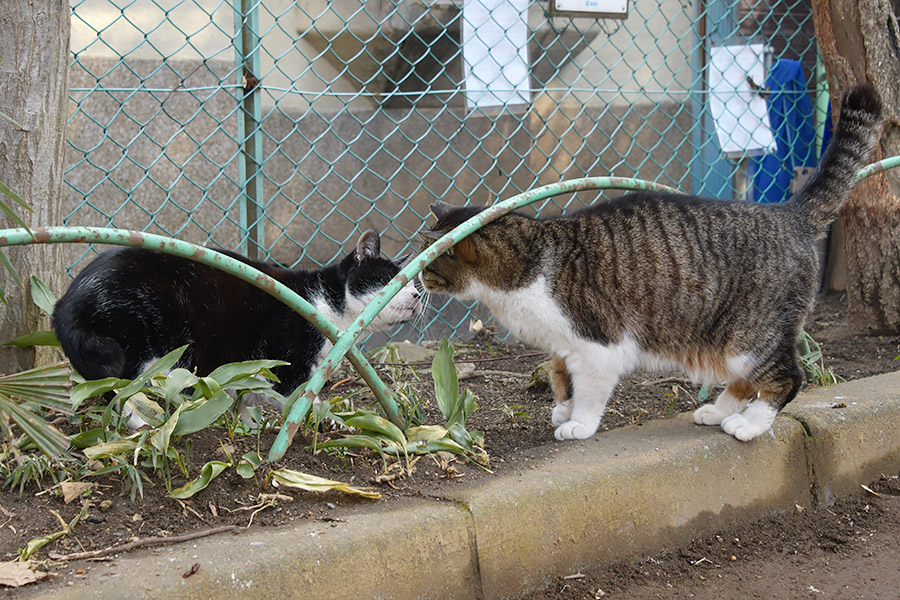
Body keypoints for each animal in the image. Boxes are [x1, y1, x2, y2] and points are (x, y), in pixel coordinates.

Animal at [55, 230, 422, 394]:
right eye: (389, 280)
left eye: (414, 281)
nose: (418, 295)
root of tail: (67, 301)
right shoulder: (287, 354)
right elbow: (290, 388)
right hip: (148, 335)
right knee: (123, 390)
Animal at [424, 83, 884, 440]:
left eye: (428, 262)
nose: (417, 279)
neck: (531, 262)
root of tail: (789, 213)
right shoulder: (562, 346)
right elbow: (560, 379)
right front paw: (562, 409)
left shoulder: (599, 346)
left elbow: (588, 392)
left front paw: (579, 424)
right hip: (728, 342)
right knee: (744, 381)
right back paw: (717, 412)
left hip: (750, 337)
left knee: (787, 377)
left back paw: (748, 425)